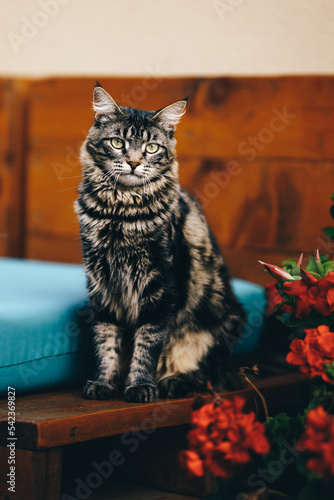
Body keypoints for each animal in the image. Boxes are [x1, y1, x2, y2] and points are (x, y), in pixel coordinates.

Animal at [75, 83, 244, 402]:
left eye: (151, 148)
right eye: (117, 143)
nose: (133, 162)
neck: (121, 214)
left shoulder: (160, 286)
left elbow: (147, 343)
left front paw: (140, 386)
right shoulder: (100, 283)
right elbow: (106, 340)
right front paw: (105, 382)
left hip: (221, 320)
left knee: (208, 374)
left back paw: (173, 381)